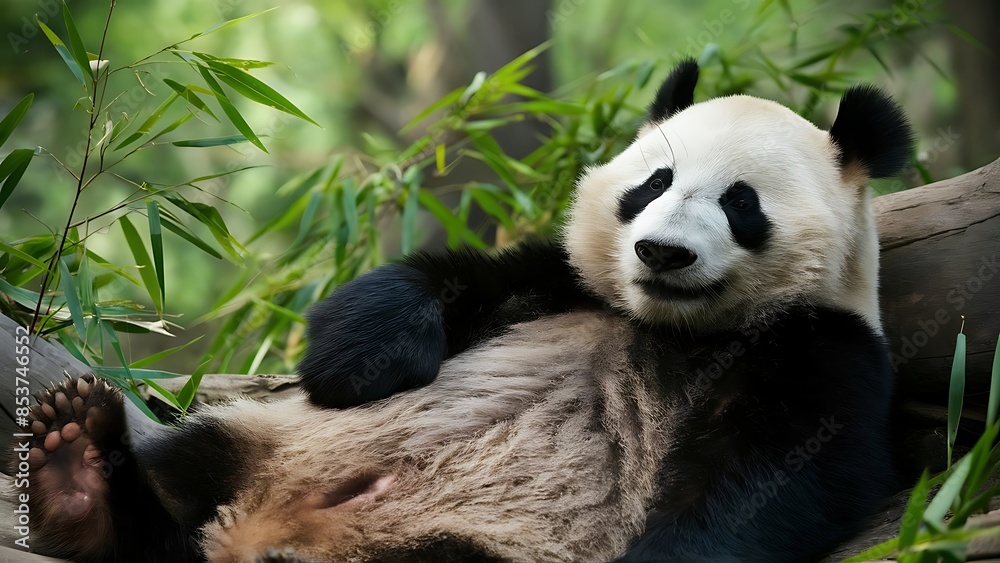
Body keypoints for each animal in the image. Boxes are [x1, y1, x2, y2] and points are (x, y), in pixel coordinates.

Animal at [18, 60, 912, 562]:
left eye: (740, 203)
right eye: (652, 184)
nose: (660, 253)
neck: (670, 324)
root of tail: (256, 529)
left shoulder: (822, 349)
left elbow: (772, 479)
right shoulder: (559, 280)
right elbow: (415, 289)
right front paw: (372, 358)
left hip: (482, 541)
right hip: (264, 446)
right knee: (185, 471)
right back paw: (80, 479)